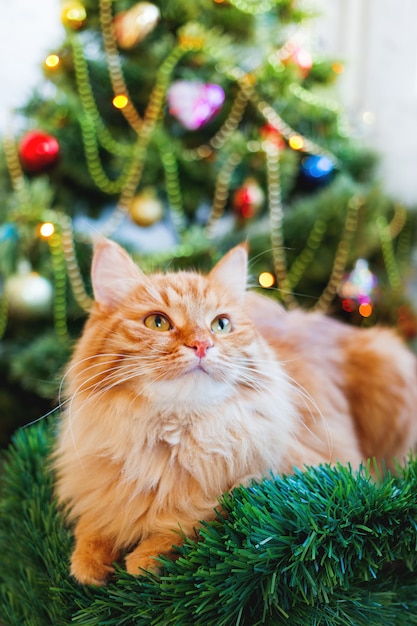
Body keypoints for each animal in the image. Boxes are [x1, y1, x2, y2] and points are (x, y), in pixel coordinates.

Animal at [52, 236, 416, 584]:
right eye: (157, 322)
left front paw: (145, 557)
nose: (202, 345)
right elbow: (96, 522)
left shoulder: (307, 479)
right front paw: (89, 561)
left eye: (221, 325)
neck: (176, 440)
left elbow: (204, 515)